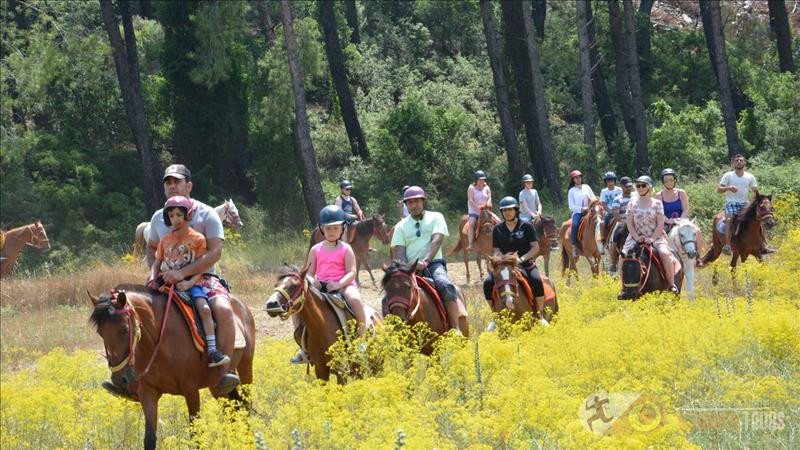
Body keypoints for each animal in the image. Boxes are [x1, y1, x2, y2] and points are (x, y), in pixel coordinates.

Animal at [86, 284, 253, 450]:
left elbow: (196, 435)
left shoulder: (191, 391)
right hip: (216, 386)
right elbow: (149, 439)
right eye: (100, 333)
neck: (160, 344)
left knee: (246, 406)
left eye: (125, 330)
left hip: (245, 368)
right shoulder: (148, 392)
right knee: (231, 411)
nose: (119, 379)